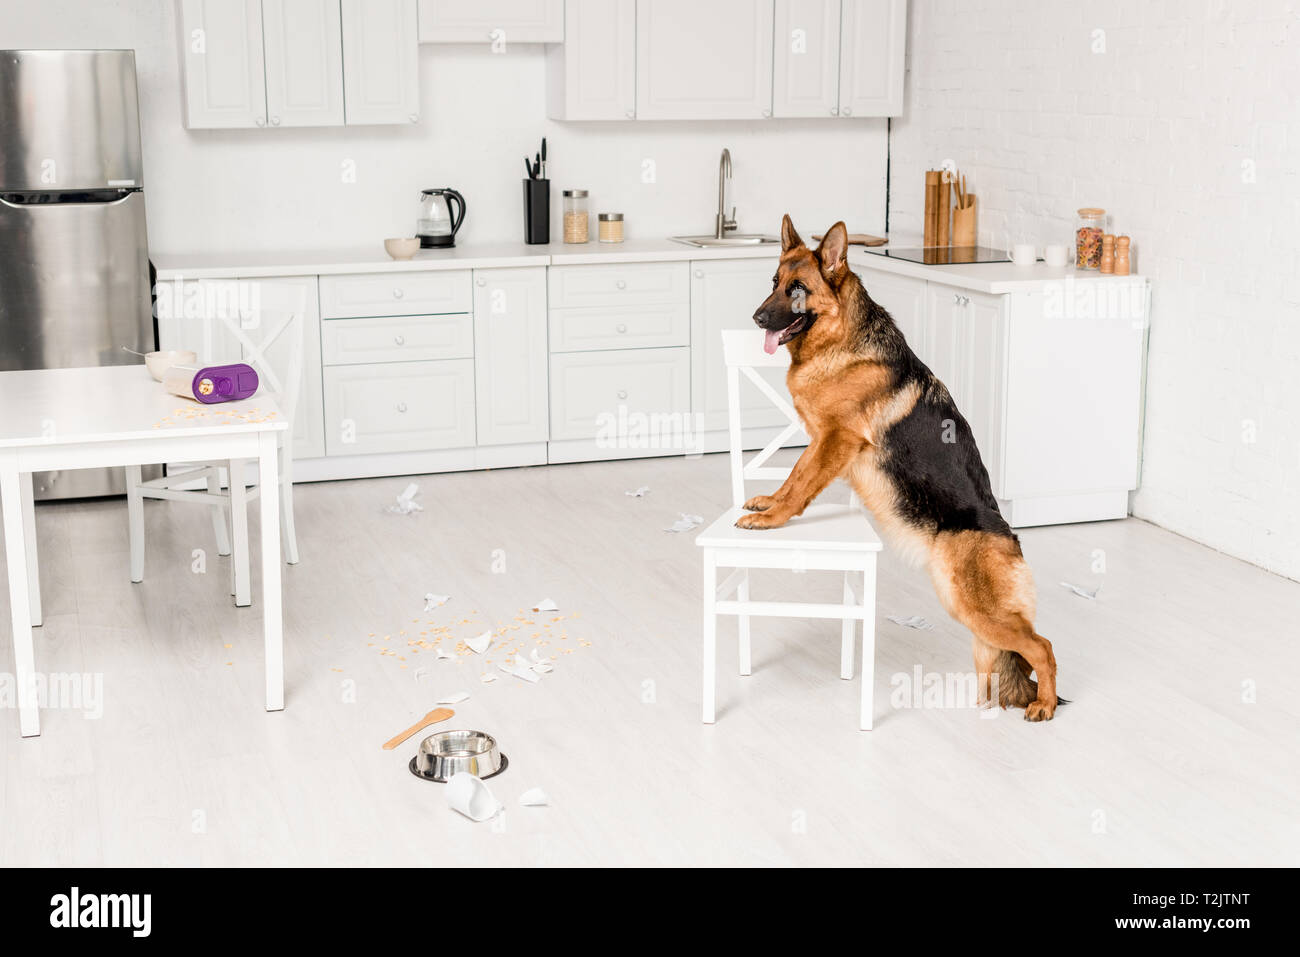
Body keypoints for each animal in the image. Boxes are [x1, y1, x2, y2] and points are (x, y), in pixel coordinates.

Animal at [738, 217, 1060, 722]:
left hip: (972, 606)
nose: (755, 318)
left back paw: (1044, 704)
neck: (842, 340)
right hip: (973, 616)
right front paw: (768, 503)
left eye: (797, 290)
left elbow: (802, 483)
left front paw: (772, 519)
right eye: (774, 283)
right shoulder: (822, 440)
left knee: (1042, 646)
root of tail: (1008, 534)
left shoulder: (837, 440)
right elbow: (794, 478)